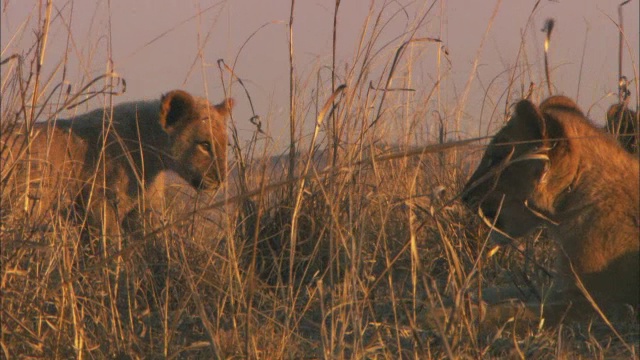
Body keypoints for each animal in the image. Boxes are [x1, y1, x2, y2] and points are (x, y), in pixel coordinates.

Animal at [462, 95, 636, 326]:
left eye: (497, 158)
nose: (463, 196)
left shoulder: (603, 305)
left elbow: (515, 310)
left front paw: (451, 314)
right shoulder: (559, 287)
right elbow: (503, 291)